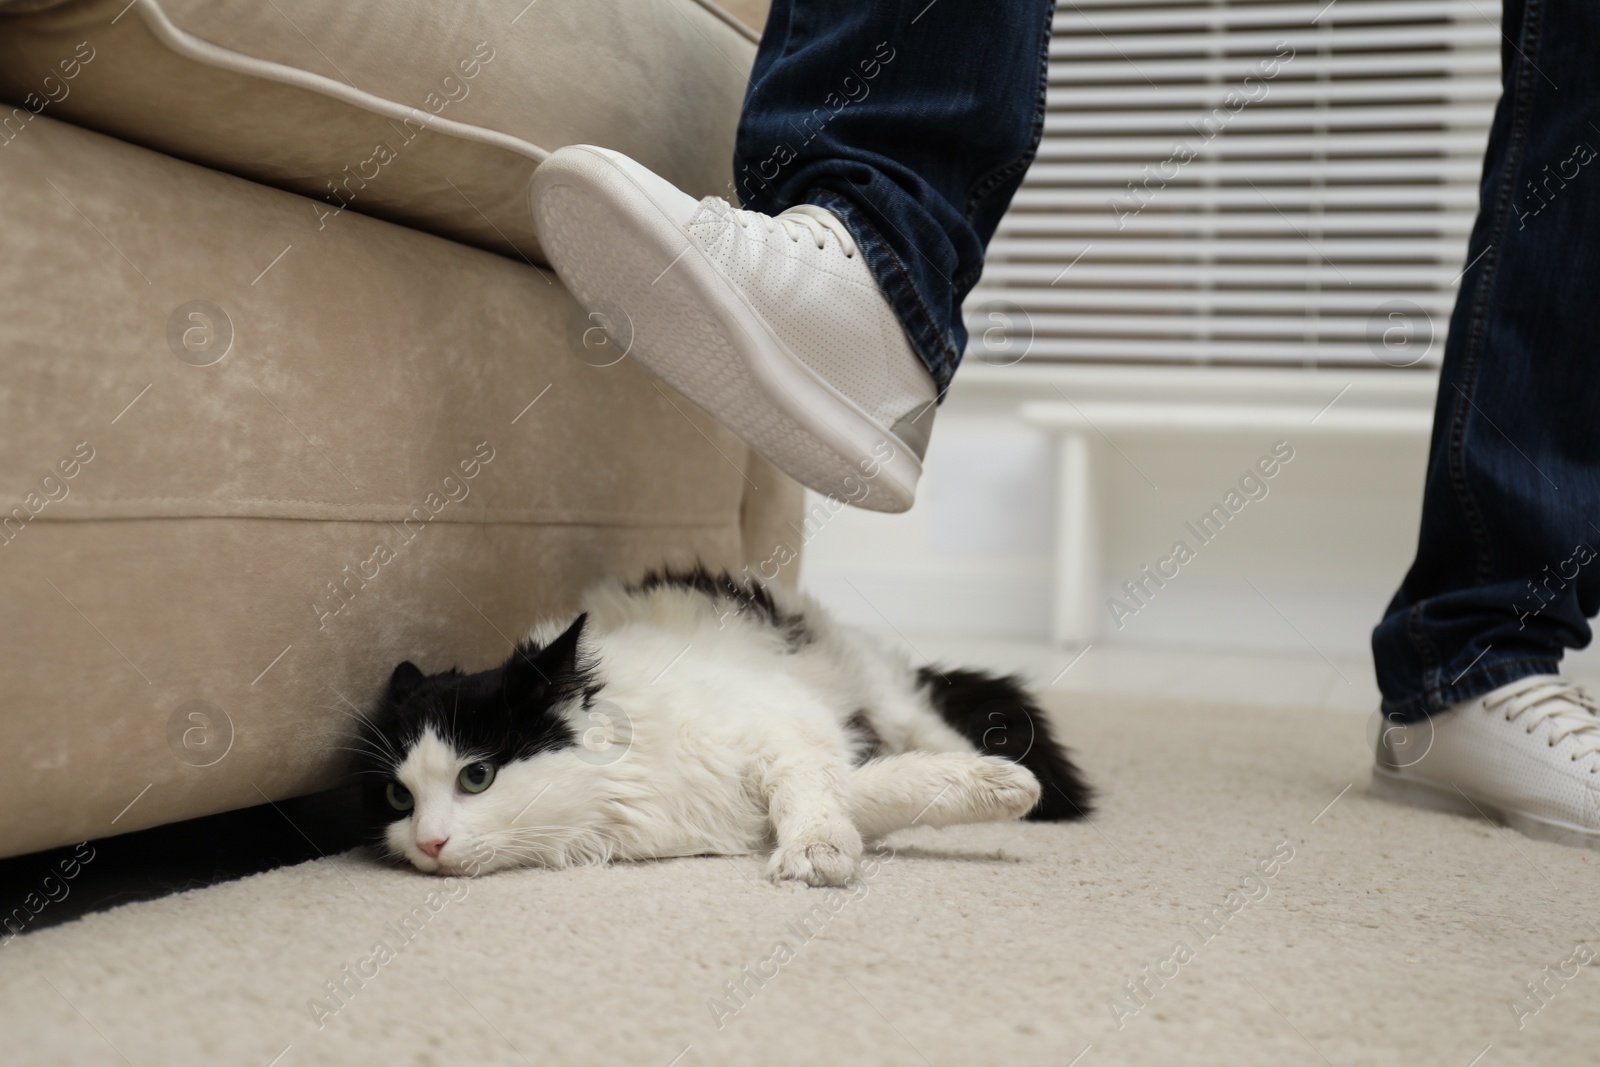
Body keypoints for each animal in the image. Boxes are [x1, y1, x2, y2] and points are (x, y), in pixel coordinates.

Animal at [355, 563, 1094, 889]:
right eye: (397, 798)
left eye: (476, 776)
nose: (429, 843)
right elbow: (878, 792)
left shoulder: (791, 733)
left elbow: (816, 795)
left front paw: (818, 852)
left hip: (882, 695)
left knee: (934, 730)